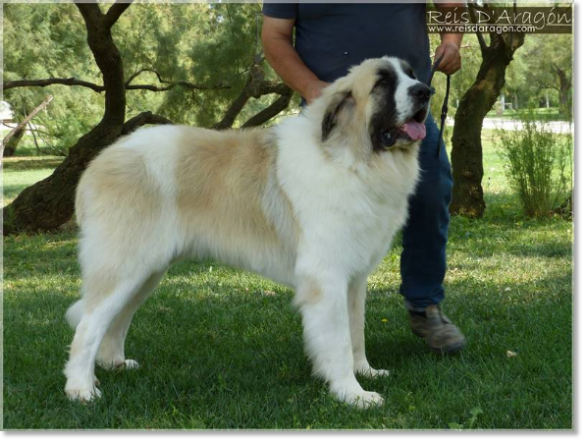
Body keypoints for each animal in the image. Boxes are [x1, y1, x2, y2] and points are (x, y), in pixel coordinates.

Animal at [65, 57, 428, 410]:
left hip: (146, 273)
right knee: (89, 325)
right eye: (383, 83)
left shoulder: (353, 279)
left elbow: (356, 331)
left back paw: (113, 364)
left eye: (411, 74)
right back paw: (81, 389)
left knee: (116, 320)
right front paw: (351, 393)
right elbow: (338, 341)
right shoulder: (327, 278)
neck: (351, 157)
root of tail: (101, 160)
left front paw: (365, 371)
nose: (425, 91)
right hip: (125, 266)